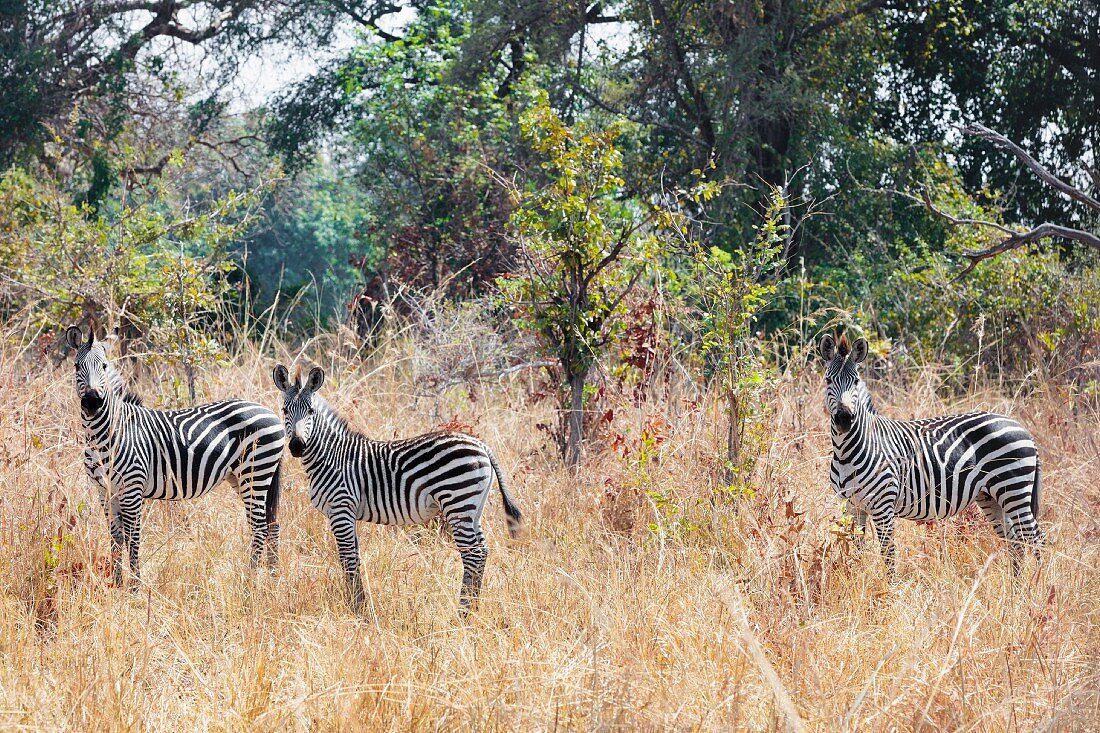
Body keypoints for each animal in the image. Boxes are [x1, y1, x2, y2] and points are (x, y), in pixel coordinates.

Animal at [66, 325, 286, 581]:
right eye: (76, 366)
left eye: (103, 366)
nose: (92, 402)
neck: (105, 434)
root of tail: (269, 412)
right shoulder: (105, 491)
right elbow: (116, 540)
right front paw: (117, 583)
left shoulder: (132, 489)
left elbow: (133, 541)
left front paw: (135, 585)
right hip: (245, 476)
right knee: (272, 525)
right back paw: (272, 578)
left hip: (255, 473)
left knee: (260, 528)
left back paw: (250, 580)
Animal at [269, 363, 519, 611]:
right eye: (284, 410)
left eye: (311, 411)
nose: (297, 446)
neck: (331, 456)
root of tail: (481, 445)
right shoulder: (346, 513)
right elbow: (354, 557)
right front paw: (359, 604)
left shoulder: (341, 508)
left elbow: (348, 558)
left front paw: (358, 608)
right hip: (473, 507)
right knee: (482, 551)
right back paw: (475, 607)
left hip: (457, 502)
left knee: (473, 554)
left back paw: (463, 611)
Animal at [822, 330, 1042, 572]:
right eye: (828, 380)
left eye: (856, 381)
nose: (844, 419)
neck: (847, 453)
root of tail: (1022, 428)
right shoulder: (852, 506)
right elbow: (857, 549)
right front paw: (859, 576)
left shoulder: (883, 506)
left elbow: (888, 555)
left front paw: (889, 583)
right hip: (991, 495)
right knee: (1015, 542)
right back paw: (1017, 582)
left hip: (1014, 489)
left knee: (1035, 538)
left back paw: (1039, 581)